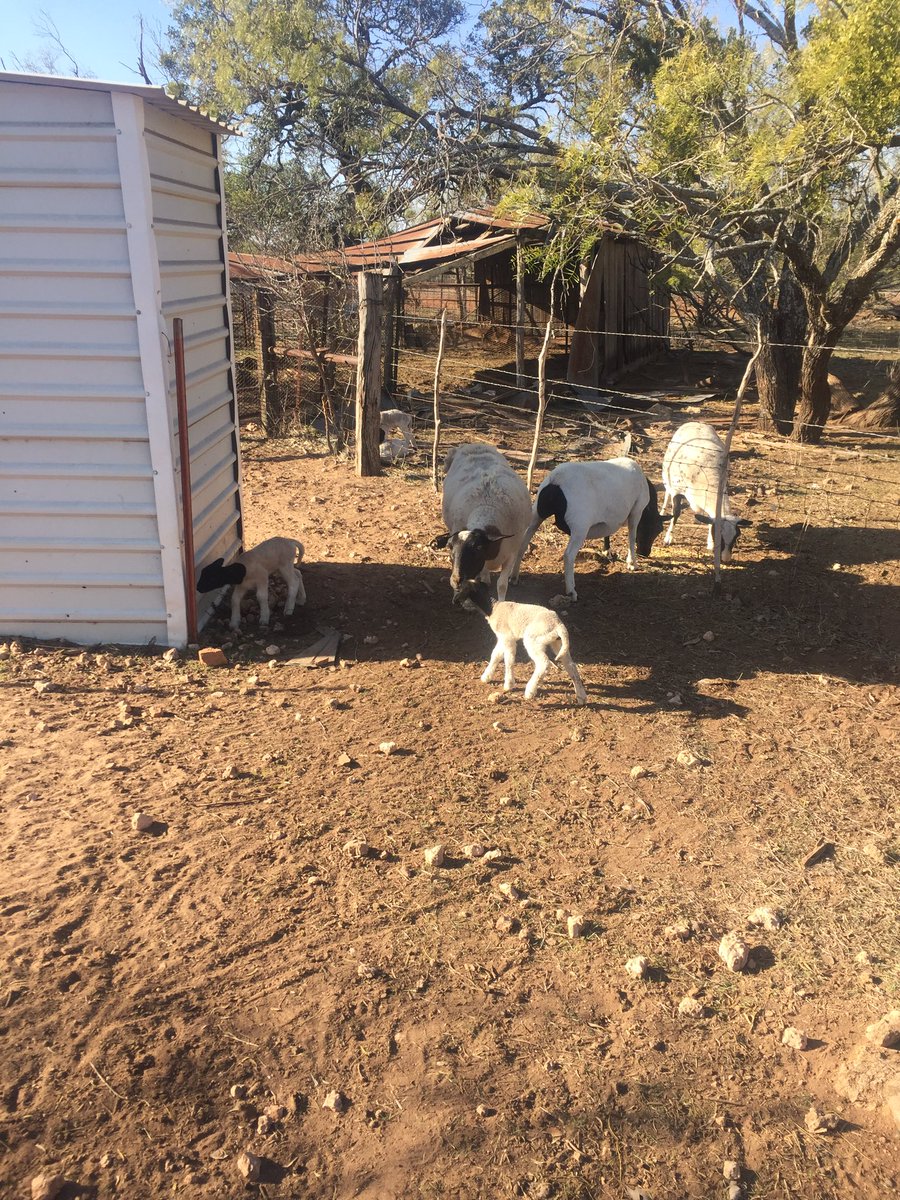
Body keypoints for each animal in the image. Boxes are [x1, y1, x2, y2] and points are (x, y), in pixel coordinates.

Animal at [431, 443, 533, 601]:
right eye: (449, 546)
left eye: (478, 547)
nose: (455, 581)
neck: (487, 507)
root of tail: (473, 445)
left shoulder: (511, 554)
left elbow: (502, 585)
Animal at [453, 579, 587, 704]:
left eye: (460, 589)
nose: (455, 601)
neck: (492, 608)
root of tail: (558, 625)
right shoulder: (502, 638)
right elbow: (495, 655)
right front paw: (486, 677)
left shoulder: (507, 638)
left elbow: (509, 660)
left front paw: (508, 685)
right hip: (557, 643)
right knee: (571, 665)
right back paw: (581, 696)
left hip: (533, 639)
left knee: (544, 663)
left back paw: (530, 691)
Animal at [512, 457, 664, 602]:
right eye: (656, 529)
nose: (645, 553)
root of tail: (556, 480)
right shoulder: (636, 511)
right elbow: (632, 537)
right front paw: (632, 563)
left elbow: (608, 533)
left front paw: (607, 552)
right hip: (580, 525)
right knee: (568, 555)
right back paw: (571, 591)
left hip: (536, 514)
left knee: (522, 544)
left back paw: (514, 577)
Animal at [661, 421, 752, 562]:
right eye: (718, 536)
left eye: (736, 536)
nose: (725, 559)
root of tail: (694, 422)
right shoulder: (677, 490)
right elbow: (675, 513)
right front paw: (668, 538)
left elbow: (710, 517)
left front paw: (710, 543)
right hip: (668, 476)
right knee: (667, 494)